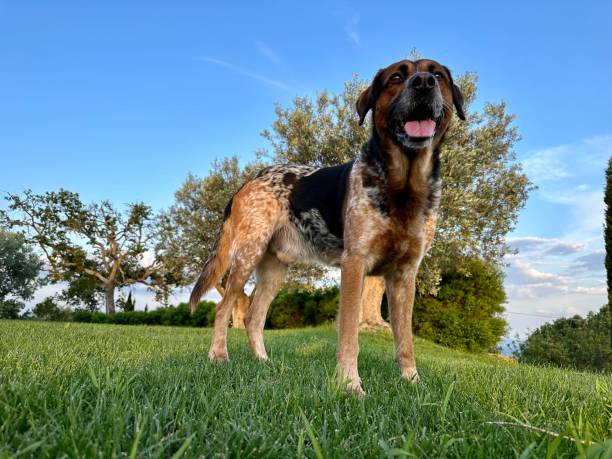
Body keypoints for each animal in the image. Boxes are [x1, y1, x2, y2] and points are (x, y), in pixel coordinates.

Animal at [189, 56, 466, 396]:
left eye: (437, 74)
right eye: (396, 77)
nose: (424, 83)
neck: (404, 187)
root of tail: (248, 182)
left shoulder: (404, 275)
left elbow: (406, 341)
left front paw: (412, 382)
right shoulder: (354, 265)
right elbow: (349, 336)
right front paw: (350, 385)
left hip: (275, 269)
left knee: (254, 317)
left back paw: (264, 363)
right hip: (247, 255)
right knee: (224, 308)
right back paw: (219, 356)